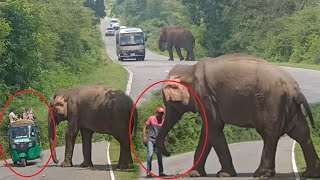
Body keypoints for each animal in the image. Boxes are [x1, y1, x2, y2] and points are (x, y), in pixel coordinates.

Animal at [156, 52, 320, 178]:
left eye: (170, 104)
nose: (169, 152)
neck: (190, 69)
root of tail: (295, 89)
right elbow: (208, 131)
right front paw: (196, 174)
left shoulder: (205, 97)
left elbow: (213, 128)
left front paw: (224, 175)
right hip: (289, 106)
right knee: (301, 132)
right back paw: (310, 174)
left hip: (272, 103)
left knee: (269, 134)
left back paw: (261, 174)